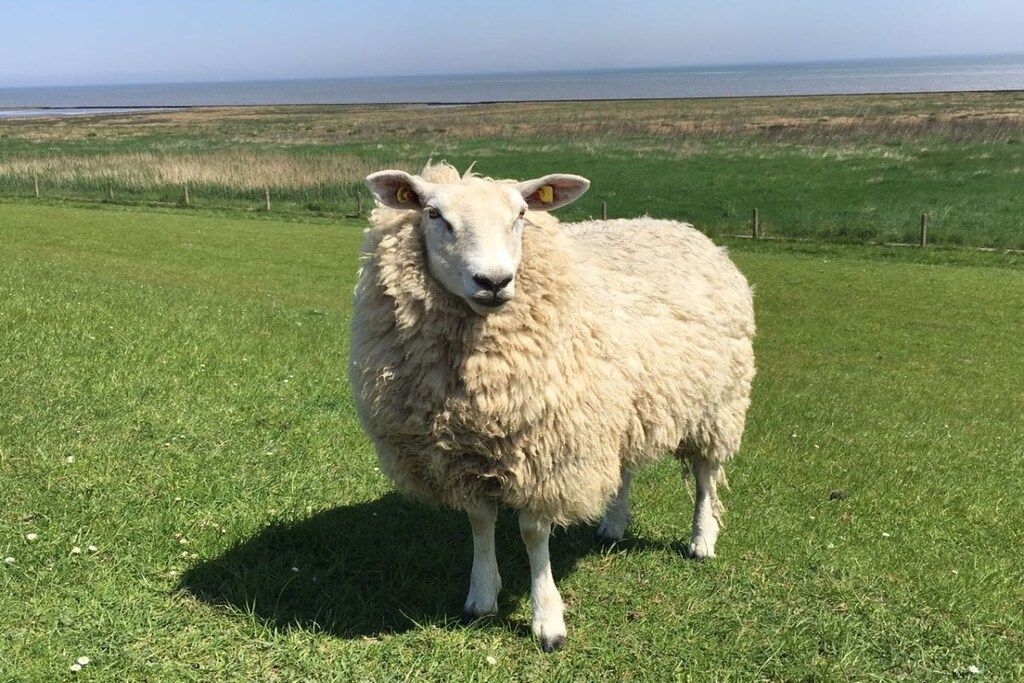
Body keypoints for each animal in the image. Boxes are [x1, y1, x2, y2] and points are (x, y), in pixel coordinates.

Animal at [349, 162, 755, 651]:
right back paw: (613, 525)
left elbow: (533, 533)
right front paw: (481, 596)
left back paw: (702, 539)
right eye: (433, 214)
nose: (494, 282)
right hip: (624, 405)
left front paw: (547, 620)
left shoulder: (547, 452)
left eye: (521, 215)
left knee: (705, 476)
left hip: (717, 405)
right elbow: (479, 521)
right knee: (625, 468)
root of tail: (680, 226)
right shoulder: (465, 453)